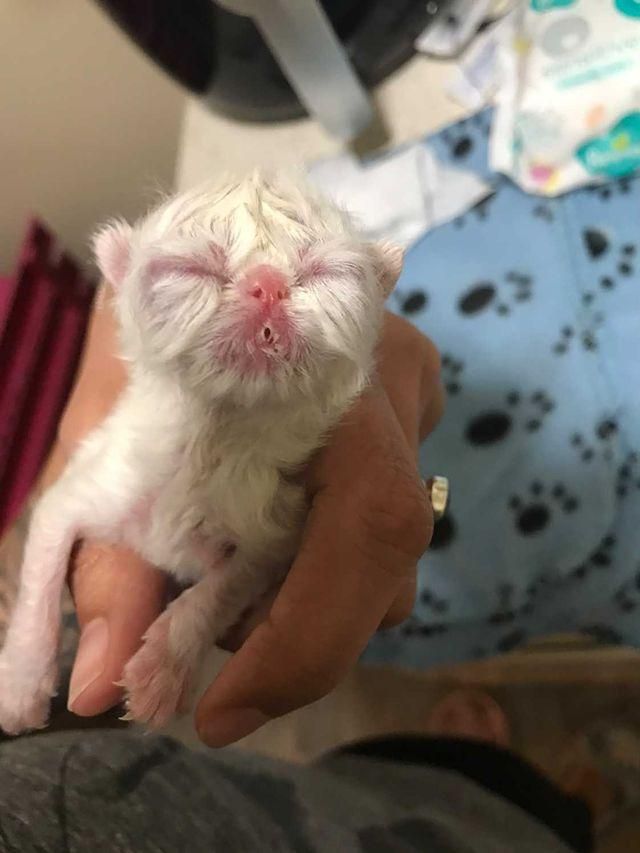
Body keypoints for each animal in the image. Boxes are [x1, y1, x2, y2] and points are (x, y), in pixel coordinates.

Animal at [0, 173, 400, 732]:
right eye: (192, 269)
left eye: (325, 273)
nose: (267, 284)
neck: (210, 442)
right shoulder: (92, 482)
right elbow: (45, 558)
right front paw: (20, 683)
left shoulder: (274, 530)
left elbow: (228, 585)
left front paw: (165, 665)